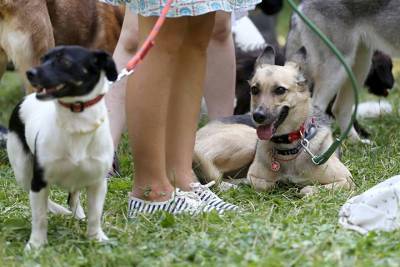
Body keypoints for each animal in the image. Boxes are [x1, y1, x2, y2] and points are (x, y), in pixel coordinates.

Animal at [6, 45, 117, 249]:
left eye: (64, 61)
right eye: (43, 59)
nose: (30, 73)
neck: (77, 124)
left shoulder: (98, 181)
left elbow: (95, 215)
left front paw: (96, 237)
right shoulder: (39, 180)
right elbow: (39, 216)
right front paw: (36, 244)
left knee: (73, 197)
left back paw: (78, 214)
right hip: (23, 171)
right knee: (40, 197)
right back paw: (59, 210)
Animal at [194, 46, 354, 196]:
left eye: (280, 90)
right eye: (254, 89)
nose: (257, 116)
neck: (288, 148)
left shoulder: (346, 180)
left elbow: (307, 189)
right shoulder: (254, 176)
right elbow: (265, 184)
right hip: (248, 139)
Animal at [286, 0, 398, 143]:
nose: (392, 85)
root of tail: (302, 4)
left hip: (359, 64)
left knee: (339, 108)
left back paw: (357, 142)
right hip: (338, 68)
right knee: (317, 109)